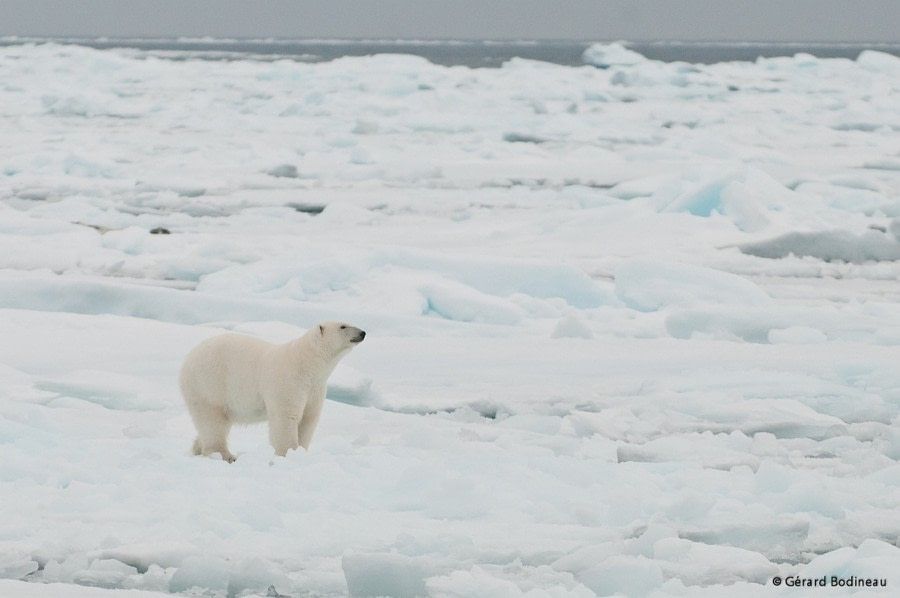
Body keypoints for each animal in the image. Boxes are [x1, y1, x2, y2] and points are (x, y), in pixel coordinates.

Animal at [179, 322, 366, 462]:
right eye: (343, 326)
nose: (363, 332)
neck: (307, 364)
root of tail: (188, 359)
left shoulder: (315, 389)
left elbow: (308, 419)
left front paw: (301, 452)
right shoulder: (289, 382)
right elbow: (286, 417)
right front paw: (288, 453)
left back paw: (197, 448)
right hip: (209, 384)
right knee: (213, 421)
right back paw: (224, 455)